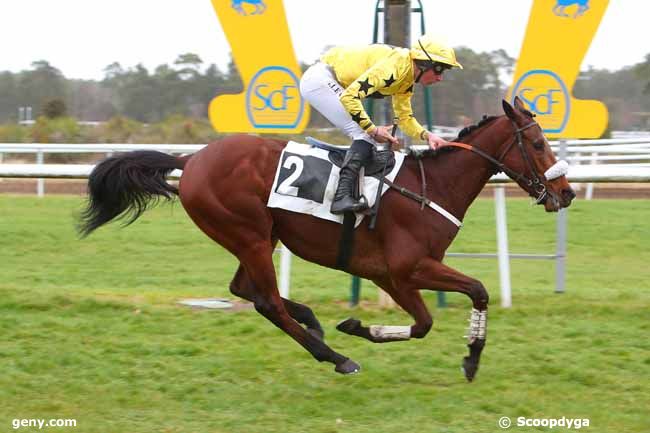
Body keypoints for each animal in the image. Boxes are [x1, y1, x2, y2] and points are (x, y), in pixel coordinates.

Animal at [79, 96, 572, 380]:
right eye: (539, 143)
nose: (565, 192)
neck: (431, 186)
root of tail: (192, 158)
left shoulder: (392, 275)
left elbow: (432, 319)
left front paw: (360, 326)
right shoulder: (407, 268)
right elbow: (470, 294)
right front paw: (469, 357)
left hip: (258, 236)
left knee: (245, 290)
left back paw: (313, 321)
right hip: (249, 235)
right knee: (268, 302)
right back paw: (335, 356)